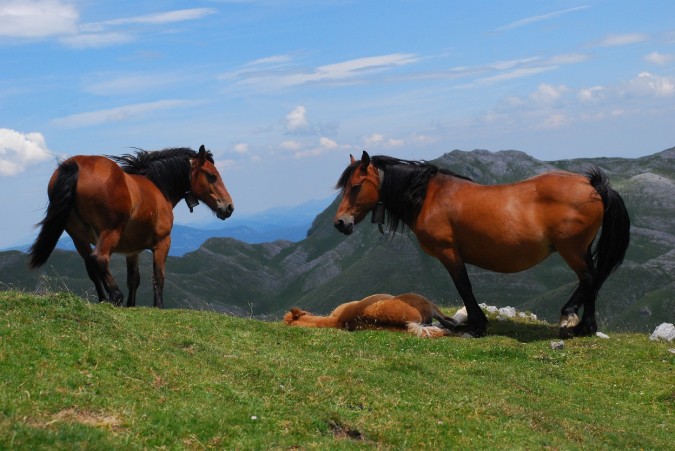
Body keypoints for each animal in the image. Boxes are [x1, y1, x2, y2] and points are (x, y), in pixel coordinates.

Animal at [28, 147, 235, 308]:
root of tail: (75, 166)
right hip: (110, 232)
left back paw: (104, 299)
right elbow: (158, 277)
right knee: (99, 259)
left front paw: (131, 305)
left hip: (78, 237)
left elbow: (134, 280)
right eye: (212, 176)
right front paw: (158, 307)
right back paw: (115, 296)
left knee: (90, 265)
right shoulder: (163, 243)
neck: (158, 187)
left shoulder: (132, 250)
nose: (229, 207)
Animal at [336, 152, 632, 340]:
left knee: (590, 278)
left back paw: (572, 318)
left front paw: (476, 326)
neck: (427, 197)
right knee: (593, 280)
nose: (340, 223)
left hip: (572, 249)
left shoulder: (449, 253)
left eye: (356, 186)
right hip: (581, 249)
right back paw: (585, 326)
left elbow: (464, 287)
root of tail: (592, 185)